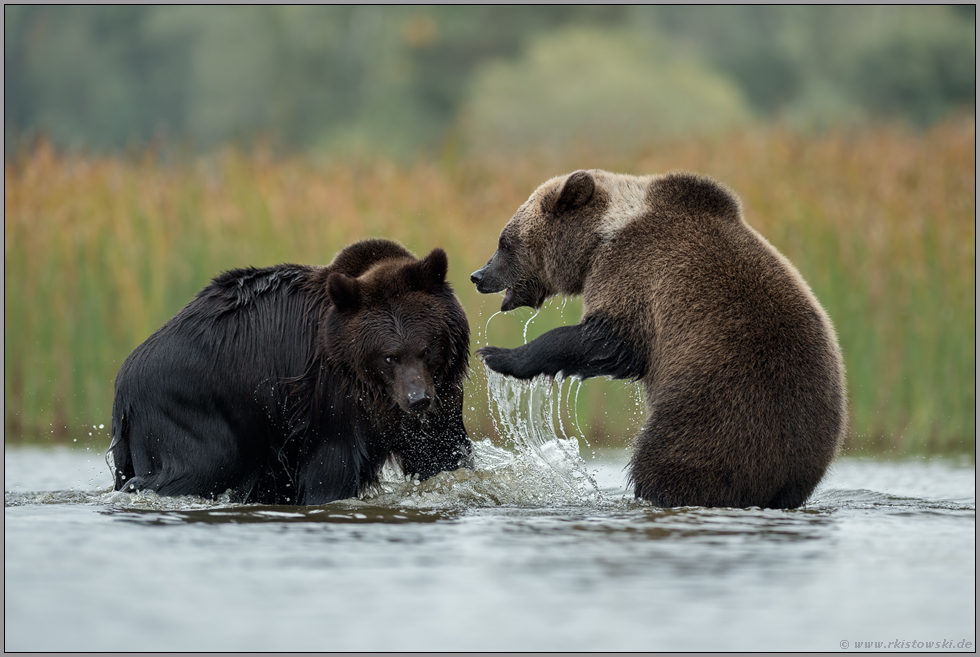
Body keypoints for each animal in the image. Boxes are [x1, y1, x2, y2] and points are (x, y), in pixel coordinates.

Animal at [109, 238, 473, 505]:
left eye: (427, 347)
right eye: (388, 357)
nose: (418, 399)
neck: (376, 395)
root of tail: (122, 382)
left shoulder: (440, 398)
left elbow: (442, 456)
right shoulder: (333, 401)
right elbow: (331, 470)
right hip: (197, 406)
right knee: (198, 466)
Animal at [471, 170, 846, 509]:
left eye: (505, 242)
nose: (479, 275)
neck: (598, 241)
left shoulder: (636, 274)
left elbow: (610, 341)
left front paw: (499, 355)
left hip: (719, 412)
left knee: (671, 460)